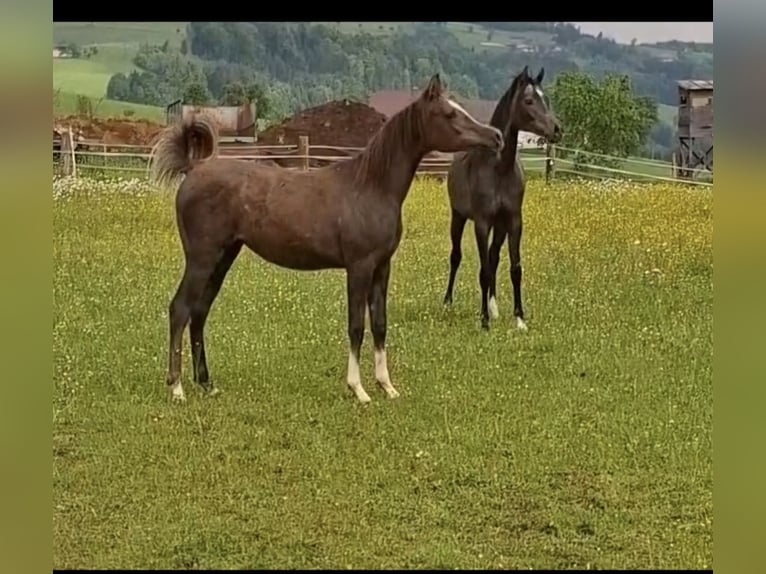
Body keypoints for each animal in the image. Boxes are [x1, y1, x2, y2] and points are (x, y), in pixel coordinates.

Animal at [151, 75, 508, 404]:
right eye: (449, 113)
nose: (497, 137)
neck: (370, 185)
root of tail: (193, 168)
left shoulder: (382, 267)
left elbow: (380, 323)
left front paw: (387, 386)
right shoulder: (359, 267)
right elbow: (356, 325)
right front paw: (359, 390)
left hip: (224, 256)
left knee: (200, 311)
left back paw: (206, 383)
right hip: (202, 258)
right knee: (180, 309)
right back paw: (177, 388)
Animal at [444, 66, 564, 330]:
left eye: (546, 99)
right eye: (528, 100)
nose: (557, 130)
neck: (499, 168)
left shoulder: (513, 221)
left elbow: (514, 268)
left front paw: (519, 318)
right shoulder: (481, 223)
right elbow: (482, 271)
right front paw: (484, 321)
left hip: (499, 227)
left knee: (494, 257)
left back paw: (494, 306)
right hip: (458, 217)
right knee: (456, 256)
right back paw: (448, 302)